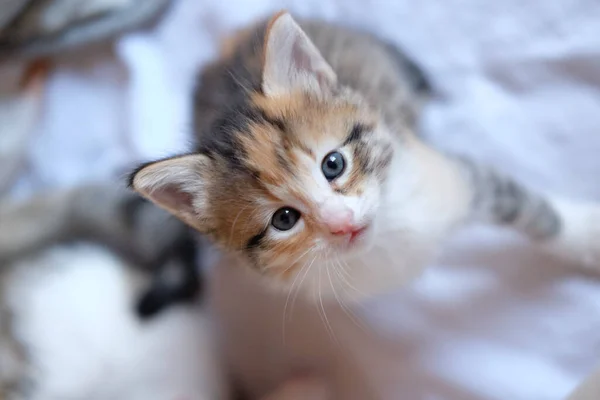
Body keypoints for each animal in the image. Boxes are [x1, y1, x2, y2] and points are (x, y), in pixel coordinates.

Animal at [130, 10, 600, 304]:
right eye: (284, 219)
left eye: (333, 164)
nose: (342, 223)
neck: (387, 239)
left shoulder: (448, 174)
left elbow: (530, 207)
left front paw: (585, 236)